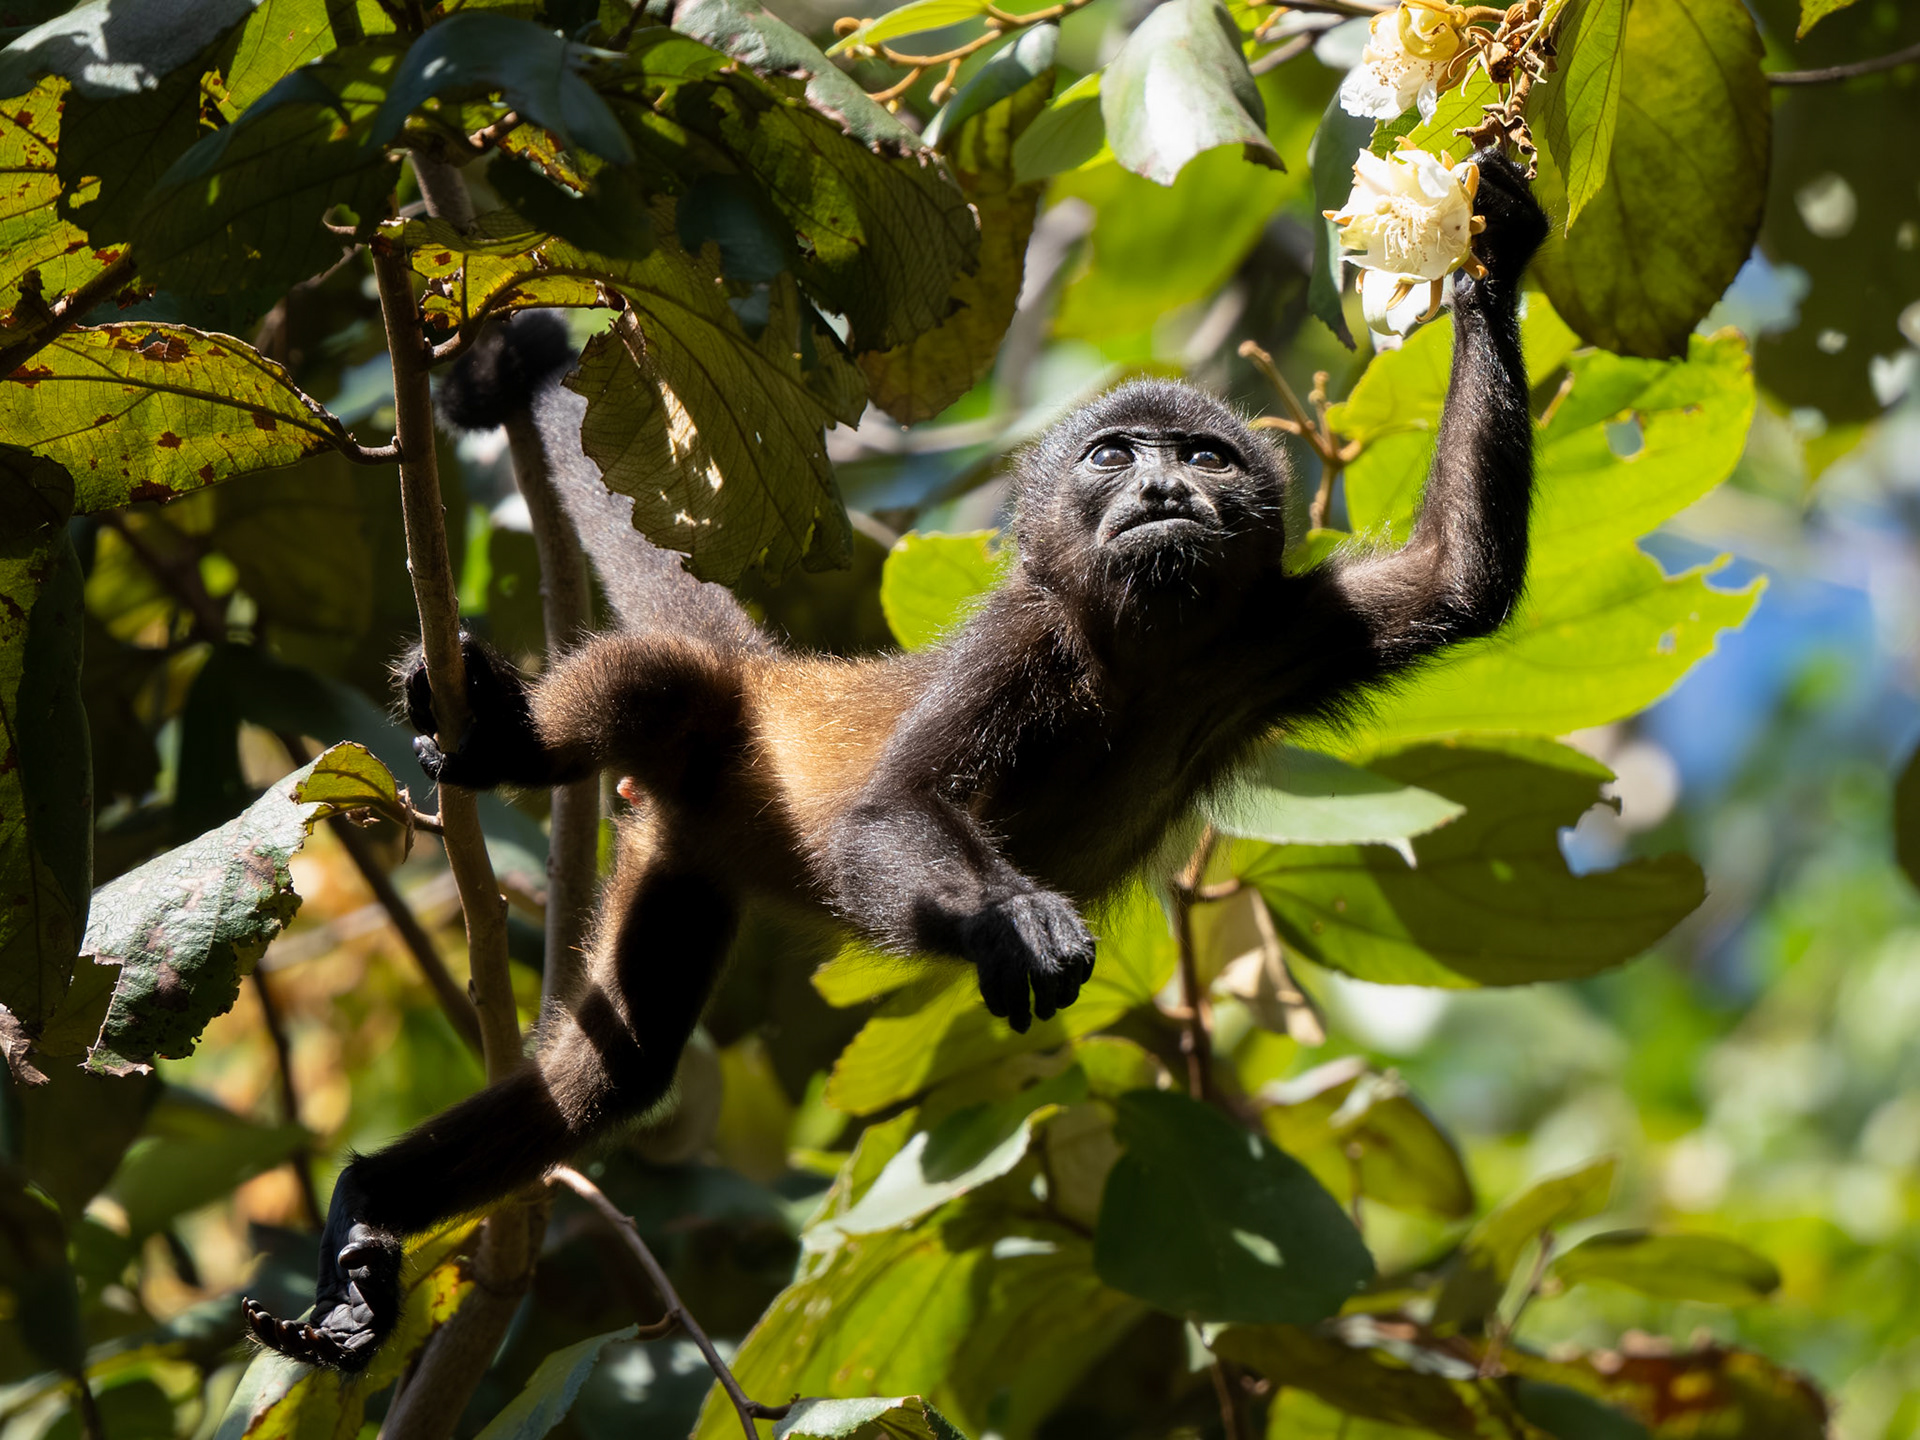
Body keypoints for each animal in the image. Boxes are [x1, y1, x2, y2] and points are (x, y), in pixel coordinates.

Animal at [241, 149, 1546, 1370]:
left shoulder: (1272, 632)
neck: (1134, 655)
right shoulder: (1022, 644)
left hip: (682, 861)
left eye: (1208, 458)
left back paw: (375, 1204)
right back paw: (505, 742)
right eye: (1114, 456)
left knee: (612, 1071)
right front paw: (1014, 923)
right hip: (711, 738)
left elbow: (1459, 581)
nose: (1165, 486)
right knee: (661, 680)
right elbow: (891, 812)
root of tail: (775, 673)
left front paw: (1495, 247)